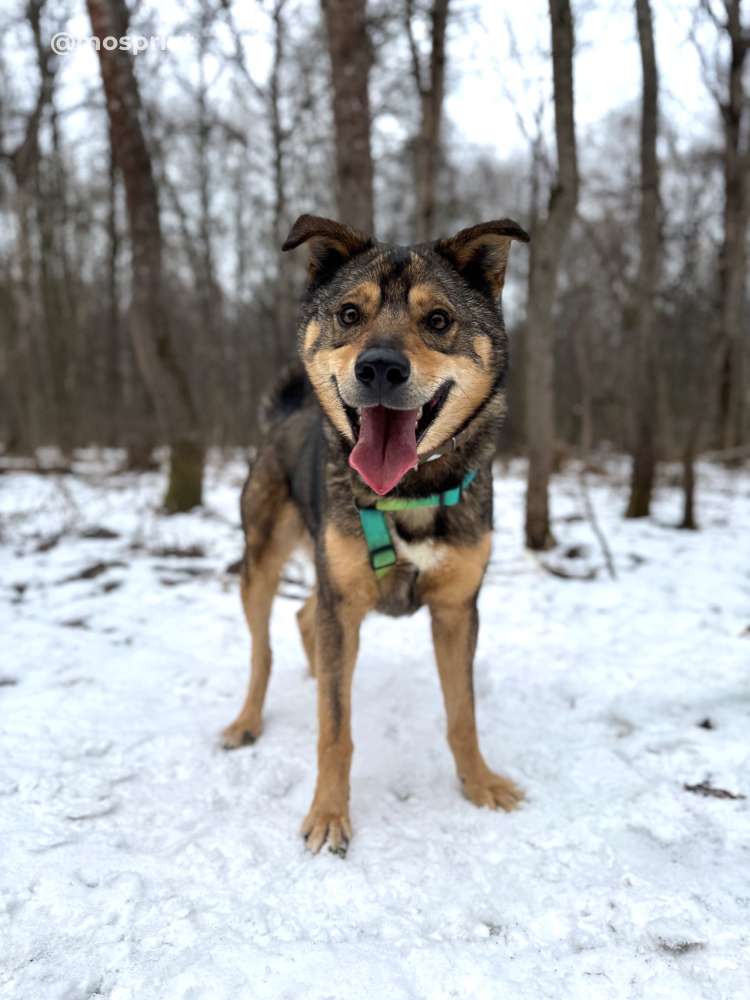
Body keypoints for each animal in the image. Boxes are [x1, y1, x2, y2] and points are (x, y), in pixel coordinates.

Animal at [222, 215, 528, 856]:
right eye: (348, 314)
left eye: (438, 320)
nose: (380, 367)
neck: (408, 492)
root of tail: (283, 416)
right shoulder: (344, 600)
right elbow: (334, 728)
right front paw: (328, 815)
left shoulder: (457, 608)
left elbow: (463, 714)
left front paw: (479, 784)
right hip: (262, 563)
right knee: (264, 649)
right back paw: (248, 720)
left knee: (305, 618)